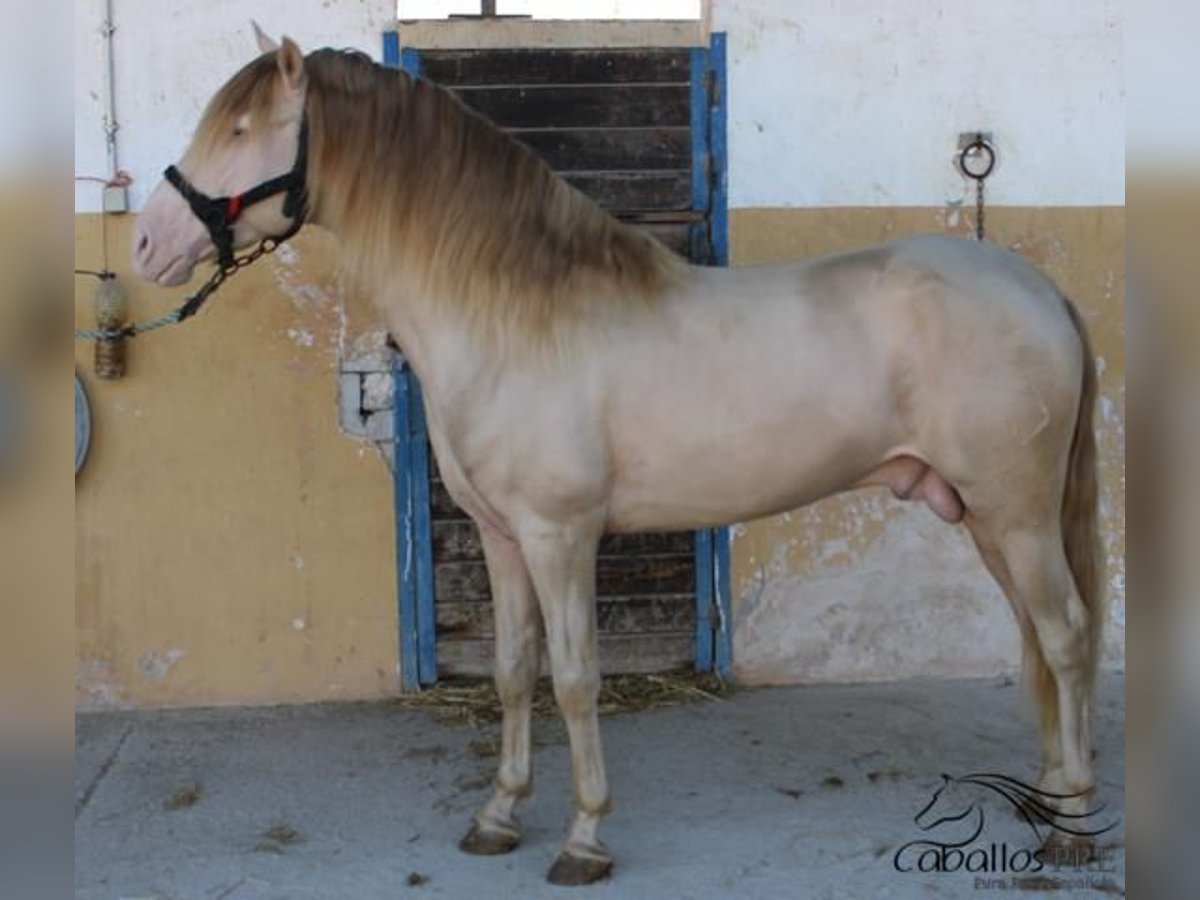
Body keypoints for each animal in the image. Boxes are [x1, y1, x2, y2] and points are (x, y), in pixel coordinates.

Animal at [133, 30, 1104, 888]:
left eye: (240, 129)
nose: (146, 245)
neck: (513, 316)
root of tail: (1039, 290)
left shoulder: (561, 536)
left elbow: (573, 680)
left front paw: (584, 840)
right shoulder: (501, 537)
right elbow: (512, 673)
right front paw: (498, 817)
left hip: (1015, 512)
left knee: (1063, 635)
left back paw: (1072, 825)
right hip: (987, 517)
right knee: (1035, 634)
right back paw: (1048, 795)